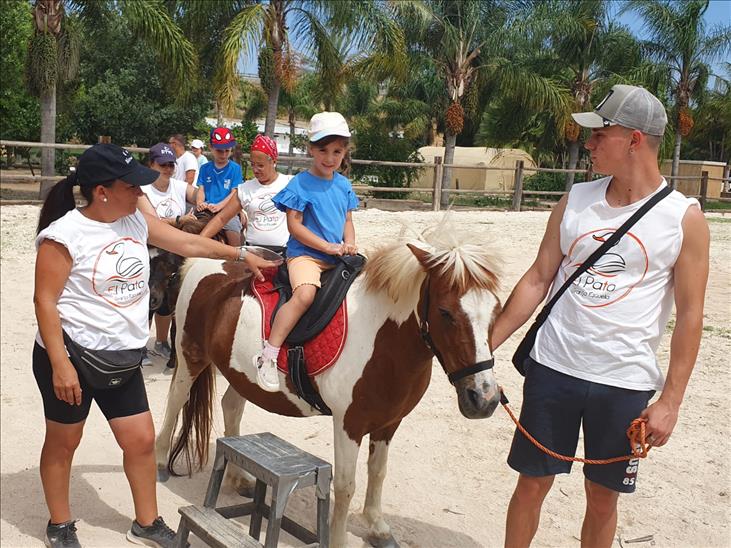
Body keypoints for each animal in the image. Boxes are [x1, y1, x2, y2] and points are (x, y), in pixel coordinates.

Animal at [155, 224, 503, 547]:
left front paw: (377, 527)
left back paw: (238, 477)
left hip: (240, 373)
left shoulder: (389, 422)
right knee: (174, 402)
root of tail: (202, 262)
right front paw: (338, 539)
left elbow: (378, 472)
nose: (484, 398)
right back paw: (159, 461)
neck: (381, 339)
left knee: (231, 406)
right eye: (445, 313)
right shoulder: (349, 424)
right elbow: (346, 485)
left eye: (497, 310)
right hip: (191, 357)